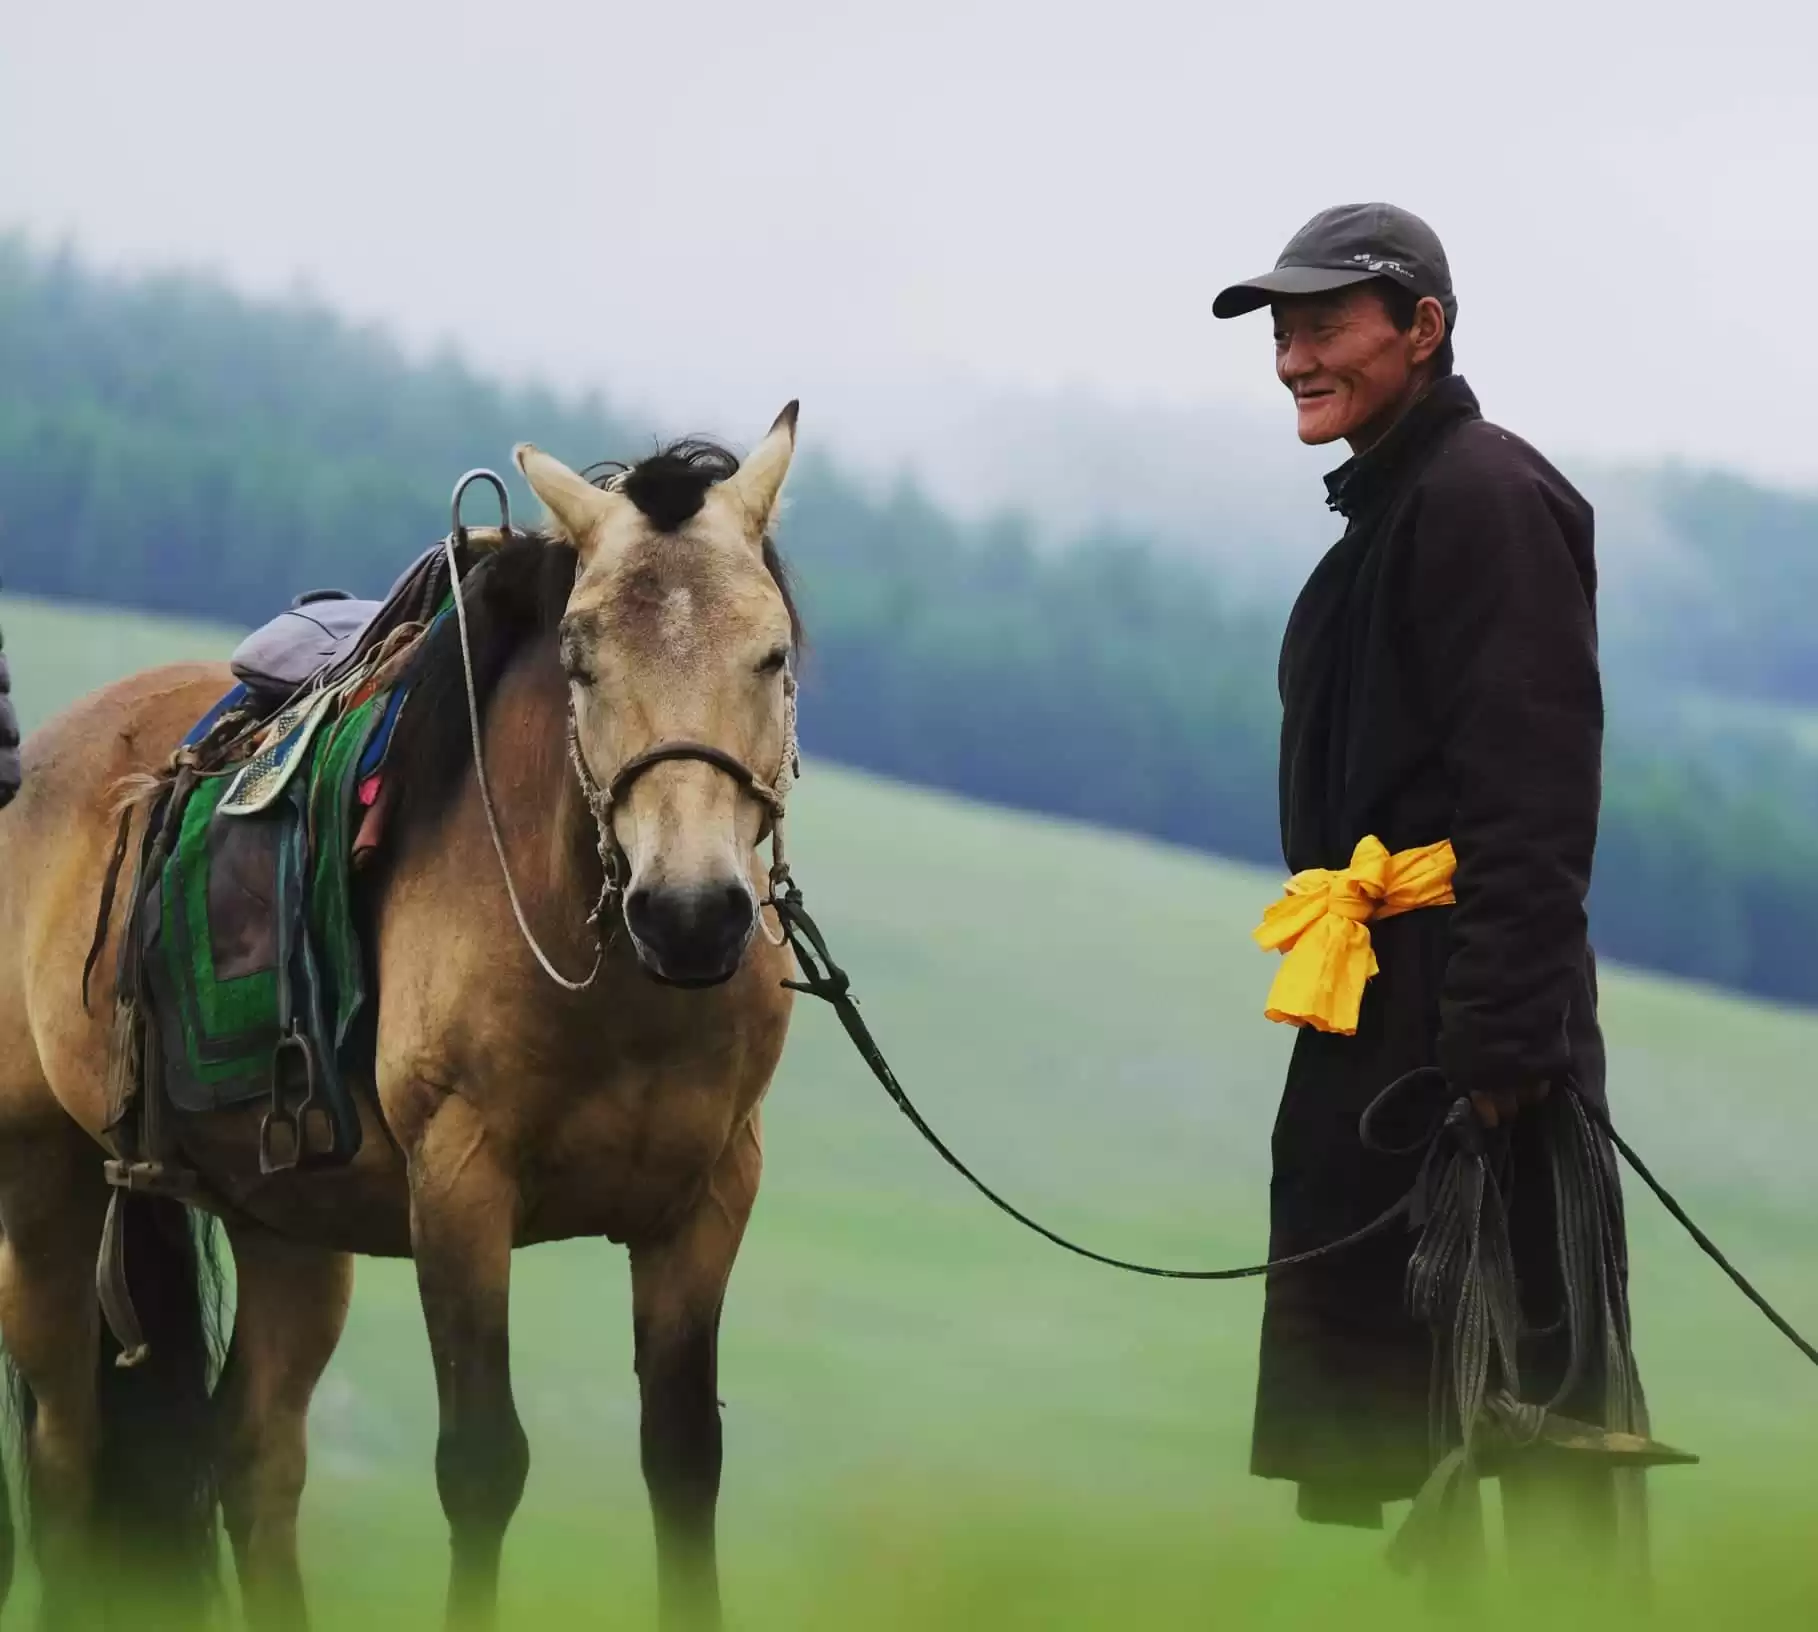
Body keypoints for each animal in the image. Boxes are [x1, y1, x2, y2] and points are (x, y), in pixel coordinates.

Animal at [0, 405, 805, 1631]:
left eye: (771, 655)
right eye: (581, 657)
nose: (691, 913)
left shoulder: (705, 1202)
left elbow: (682, 1467)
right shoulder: (462, 1187)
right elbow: (481, 1467)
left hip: (285, 1222)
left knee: (254, 1458)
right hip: (43, 1183)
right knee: (66, 1457)